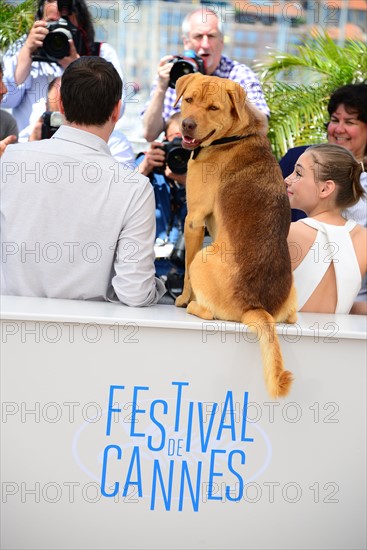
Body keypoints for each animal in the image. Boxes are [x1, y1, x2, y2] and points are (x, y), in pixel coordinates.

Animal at [175, 73, 300, 402]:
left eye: (213, 107)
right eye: (188, 100)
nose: (187, 125)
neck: (233, 137)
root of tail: (255, 305)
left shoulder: (193, 221)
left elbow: (185, 275)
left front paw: (182, 298)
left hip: (204, 256)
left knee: (207, 311)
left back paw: (194, 306)